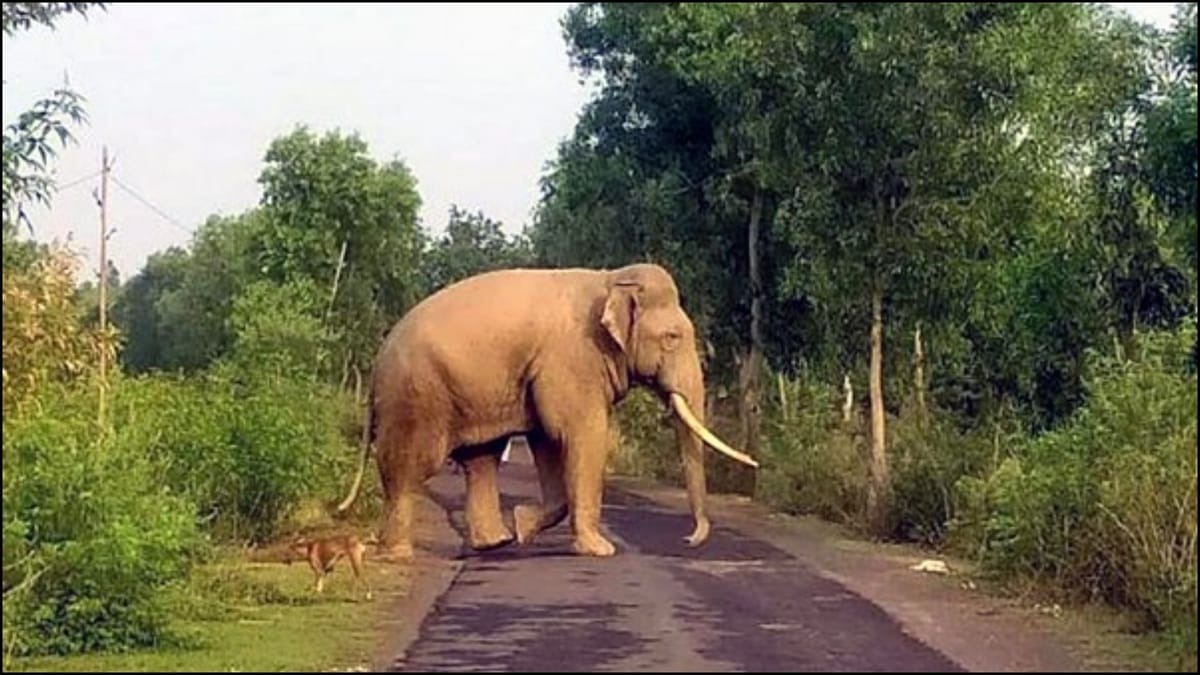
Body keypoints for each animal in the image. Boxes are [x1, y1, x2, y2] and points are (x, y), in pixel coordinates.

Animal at [336, 263, 757, 559]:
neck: (611, 279)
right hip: (416, 396)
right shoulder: (573, 358)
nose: (688, 539)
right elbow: (582, 433)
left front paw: (523, 526)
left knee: (481, 459)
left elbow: (548, 440)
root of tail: (377, 361)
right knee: (410, 466)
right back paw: (397, 554)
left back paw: (496, 542)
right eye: (672, 337)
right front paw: (600, 550)